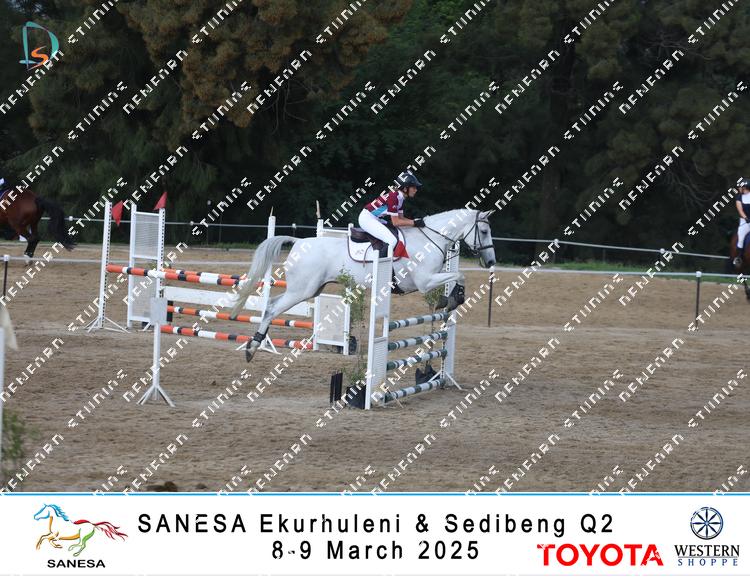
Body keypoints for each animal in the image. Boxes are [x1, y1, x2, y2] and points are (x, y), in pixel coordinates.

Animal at [231, 209, 496, 362]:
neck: (429, 238)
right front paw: (451, 299)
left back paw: (254, 345)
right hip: (301, 290)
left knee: (272, 304)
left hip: (310, 289)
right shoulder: (424, 281)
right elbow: (460, 275)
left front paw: (449, 299)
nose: (491, 261)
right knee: (272, 309)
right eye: (484, 230)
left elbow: (457, 276)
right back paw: (252, 348)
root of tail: (297, 242)